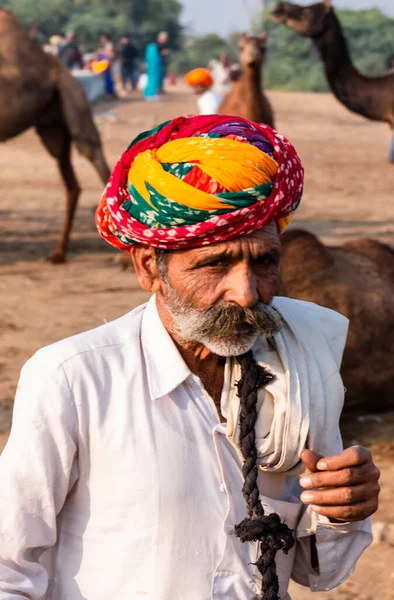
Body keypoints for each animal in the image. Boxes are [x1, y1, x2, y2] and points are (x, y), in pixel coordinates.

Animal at [0, 9, 111, 262]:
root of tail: (61, 67)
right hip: (53, 125)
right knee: (71, 179)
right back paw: (59, 252)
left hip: (73, 96)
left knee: (93, 153)